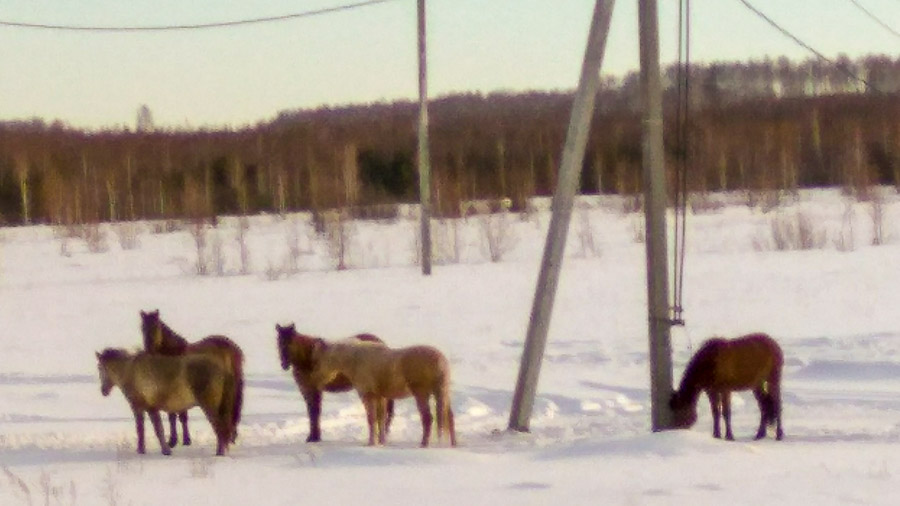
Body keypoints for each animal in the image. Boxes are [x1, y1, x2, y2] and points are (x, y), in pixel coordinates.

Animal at [96, 346, 237, 456]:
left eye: (100, 368)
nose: (103, 391)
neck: (129, 371)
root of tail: (223, 369)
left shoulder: (141, 408)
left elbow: (149, 429)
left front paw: (157, 450)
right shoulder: (149, 409)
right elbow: (152, 429)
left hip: (209, 407)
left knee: (219, 427)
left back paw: (219, 453)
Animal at [139, 308, 243, 446]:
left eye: (156, 327)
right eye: (142, 328)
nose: (148, 350)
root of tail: (234, 348)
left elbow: (181, 417)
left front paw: (184, 440)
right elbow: (172, 417)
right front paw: (173, 440)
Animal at [310, 340, 458, 446]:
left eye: (318, 362)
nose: (316, 381)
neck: (356, 360)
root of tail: (440, 360)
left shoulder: (368, 396)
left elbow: (372, 419)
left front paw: (371, 443)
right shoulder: (380, 397)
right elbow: (380, 419)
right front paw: (381, 442)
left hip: (422, 394)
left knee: (428, 418)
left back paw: (424, 444)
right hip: (442, 393)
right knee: (449, 417)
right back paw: (453, 444)